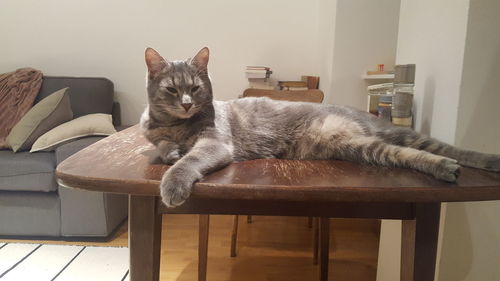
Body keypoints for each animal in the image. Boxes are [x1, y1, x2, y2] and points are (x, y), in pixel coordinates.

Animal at [140, 47, 500, 207]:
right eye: (172, 90)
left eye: (195, 88)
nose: (187, 103)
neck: (176, 124)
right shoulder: (156, 134)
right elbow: (160, 145)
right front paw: (169, 151)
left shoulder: (215, 143)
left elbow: (189, 160)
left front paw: (173, 182)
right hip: (366, 148)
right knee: (413, 154)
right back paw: (445, 168)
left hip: (395, 132)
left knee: (443, 146)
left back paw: (482, 160)